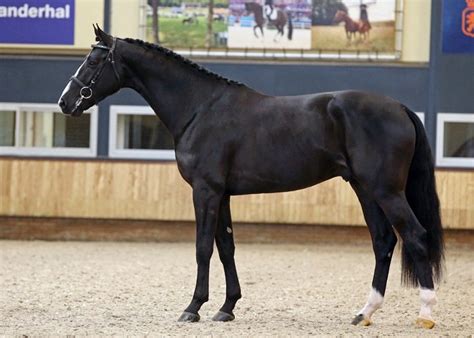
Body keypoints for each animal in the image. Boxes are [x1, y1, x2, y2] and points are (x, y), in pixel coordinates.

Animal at [58, 27, 444, 330]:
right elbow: (226, 247)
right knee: (383, 241)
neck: (200, 108)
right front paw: (227, 308)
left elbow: (202, 248)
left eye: (93, 62)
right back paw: (365, 313)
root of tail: (399, 107)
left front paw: (193, 308)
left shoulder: (205, 191)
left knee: (415, 235)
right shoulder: (223, 194)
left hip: (386, 190)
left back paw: (425, 314)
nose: (65, 102)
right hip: (365, 189)